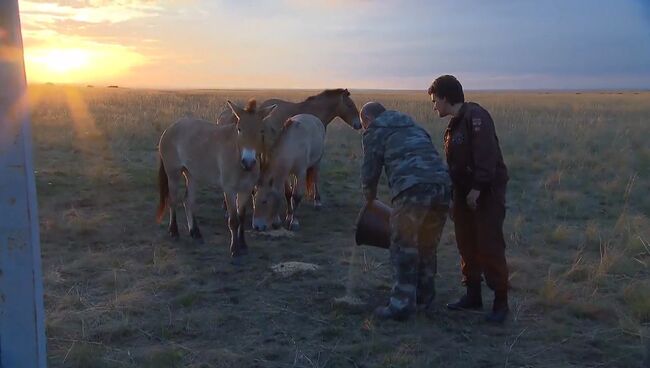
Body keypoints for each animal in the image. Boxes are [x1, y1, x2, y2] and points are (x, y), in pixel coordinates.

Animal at [159, 99, 278, 262]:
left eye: (261, 131)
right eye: (239, 129)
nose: (248, 162)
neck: (237, 157)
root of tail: (170, 128)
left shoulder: (246, 190)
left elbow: (241, 218)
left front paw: (243, 245)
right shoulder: (229, 190)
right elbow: (233, 220)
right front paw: (235, 249)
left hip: (192, 175)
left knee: (188, 201)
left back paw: (195, 233)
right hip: (173, 174)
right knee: (172, 200)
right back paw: (174, 231)